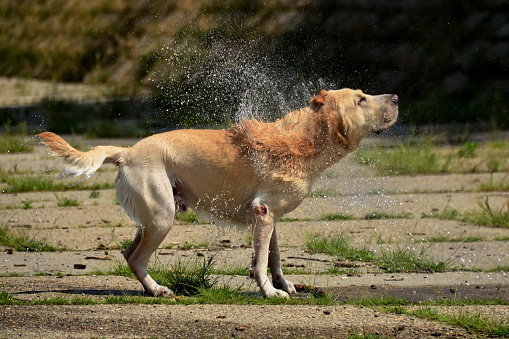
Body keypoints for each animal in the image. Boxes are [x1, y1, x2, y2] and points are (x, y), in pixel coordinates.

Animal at [38, 89, 396, 298]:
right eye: (361, 99)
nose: (395, 97)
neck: (304, 140)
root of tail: (126, 152)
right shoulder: (264, 213)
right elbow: (261, 262)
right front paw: (270, 293)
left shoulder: (270, 217)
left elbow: (274, 257)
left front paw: (283, 285)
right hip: (162, 217)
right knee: (138, 258)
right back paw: (159, 290)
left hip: (150, 219)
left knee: (128, 254)